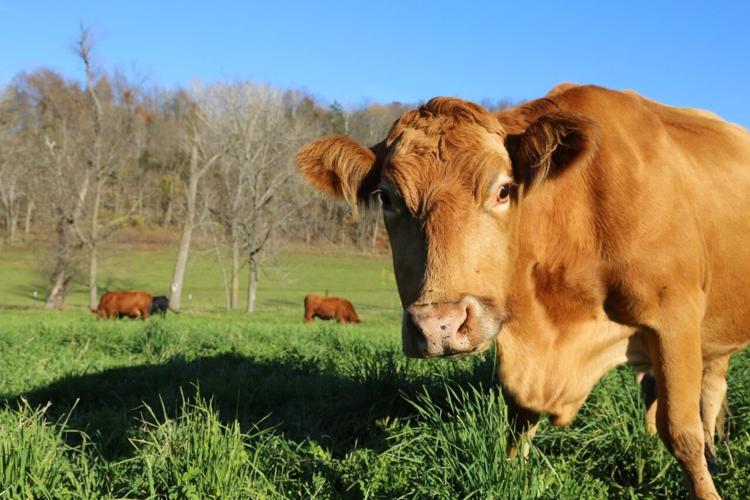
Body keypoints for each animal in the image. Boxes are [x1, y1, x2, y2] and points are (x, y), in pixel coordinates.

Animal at [295, 84, 750, 499]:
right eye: (388, 199)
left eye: (503, 190)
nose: (440, 325)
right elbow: (520, 420)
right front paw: (513, 472)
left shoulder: (675, 318)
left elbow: (681, 430)